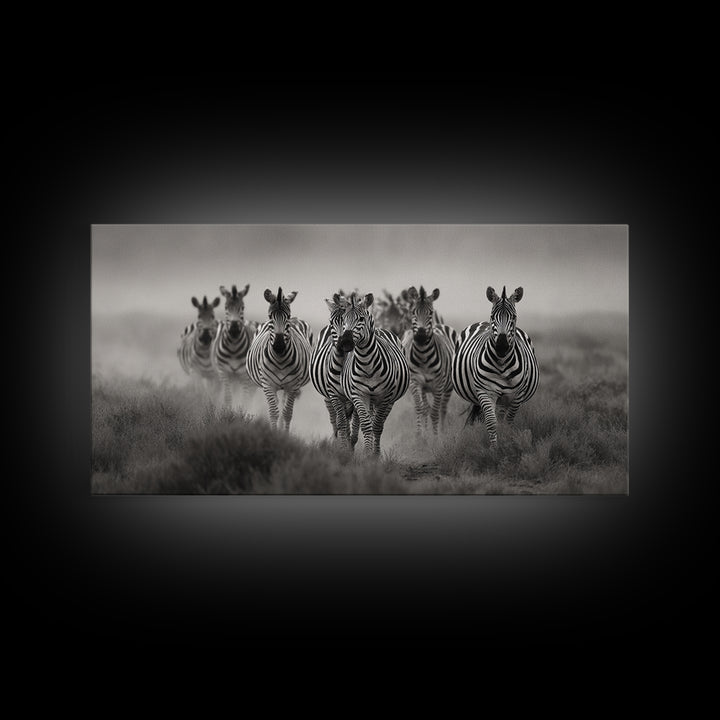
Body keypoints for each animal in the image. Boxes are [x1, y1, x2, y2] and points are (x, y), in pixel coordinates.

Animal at [246, 287, 313, 432]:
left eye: (287, 316)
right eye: (270, 316)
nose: (279, 346)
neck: (280, 359)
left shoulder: (293, 386)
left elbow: (287, 413)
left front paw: (284, 435)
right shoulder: (268, 385)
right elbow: (273, 412)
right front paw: (274, 433)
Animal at [310, 293, 359, 450]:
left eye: (347, 323)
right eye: (332, 324)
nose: (343, 344)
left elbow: (352, 420)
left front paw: (350, 443)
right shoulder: (333, 394)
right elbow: (340, 421)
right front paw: (342, 445)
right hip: (327, 396)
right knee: (334, 418)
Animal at [339, 292, 410, 455]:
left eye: (361, 319)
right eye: (343, 319)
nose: (345, 342)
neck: (367, 365)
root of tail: (380, 330)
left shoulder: (385, 397)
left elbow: (377, 426)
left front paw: (374, 455)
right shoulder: (359, 395)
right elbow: (366, 426)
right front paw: (367, 452)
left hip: (388, 401)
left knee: (379, 423)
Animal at [401, 286, 458, 435]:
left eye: (430, 313)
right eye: (413, 312)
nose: (421, 336)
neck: (423, 356)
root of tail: (439, 324)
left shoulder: (438, 384)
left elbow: (435, 412)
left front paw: (436, 437)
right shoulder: (415, 382)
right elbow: (420, 409)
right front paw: (421, 435)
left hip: (448, 386)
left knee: (443, 408)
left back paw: (443, 432)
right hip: (425, 388)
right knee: (427, 408)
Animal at [451, 285, 539, 446]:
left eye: (514, 317)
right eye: (492, 316)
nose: (501, 346)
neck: (502, 363)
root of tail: (482, 322)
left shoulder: (517, 395)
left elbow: (508, 422)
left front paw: (507, 443)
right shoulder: (486, 391)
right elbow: (492, 422)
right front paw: (494, 448)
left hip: (504, 398)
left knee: (502, 416)